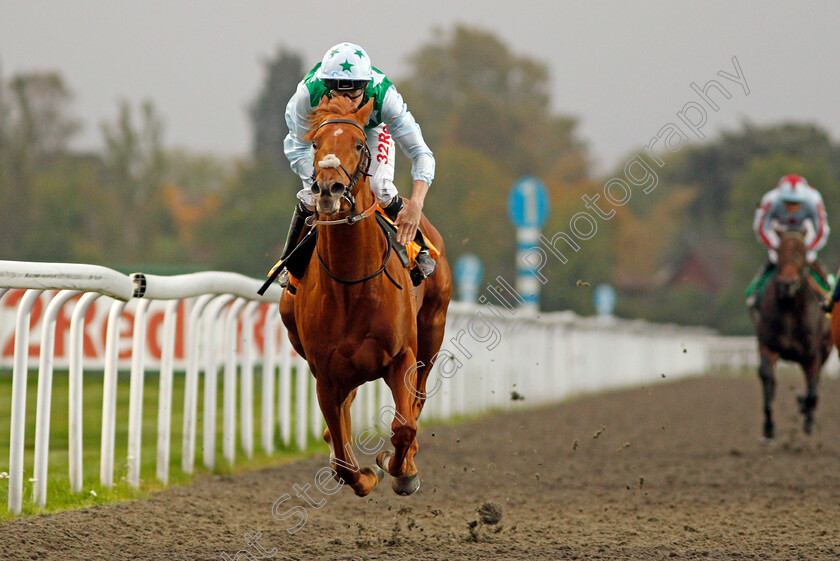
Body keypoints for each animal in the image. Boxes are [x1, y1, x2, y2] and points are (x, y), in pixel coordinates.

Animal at [278, 95, 450, 494]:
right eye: (315, 144)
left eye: (358, 144)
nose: (328, 190)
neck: (351, 283)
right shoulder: (325, 375)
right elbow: (343, 458)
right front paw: (367, 475)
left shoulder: (401, 357)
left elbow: (404, 426)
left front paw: (400, 470)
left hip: (433, 330)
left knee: (418, 398)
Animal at [752, 230, 832, 440]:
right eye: (779, 250)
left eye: (802, 251)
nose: (788, 283)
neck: (790, 308)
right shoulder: (768, 344)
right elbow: (767, 377)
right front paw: (768, 425)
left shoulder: (813, 353)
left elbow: (812, 390)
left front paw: (807, 419)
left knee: (814, 383)